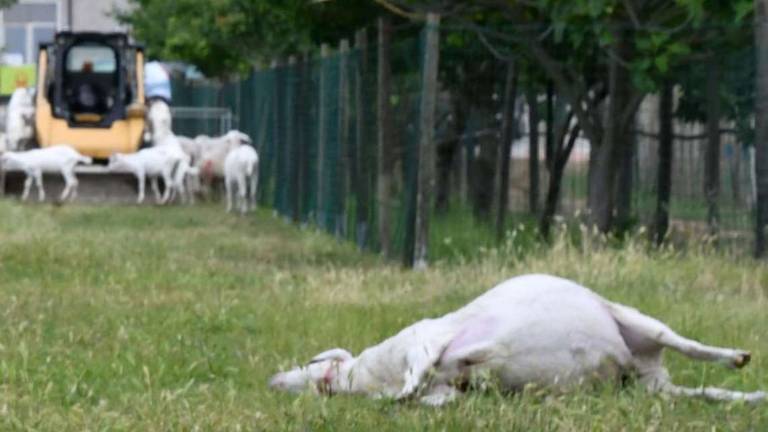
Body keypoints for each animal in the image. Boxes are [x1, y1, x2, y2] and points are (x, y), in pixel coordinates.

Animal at [268, 274, 764, 404]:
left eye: (310, 362)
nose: (271, 381)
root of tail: (639, 367)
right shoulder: (443, 385)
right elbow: (438, 391)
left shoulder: (425, 338)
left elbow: (424, 365)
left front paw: (405, 392)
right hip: (651, 383)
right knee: (705, 392)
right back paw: (750, 396)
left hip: (639, 321)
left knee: (692, 347)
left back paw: (736, 357)